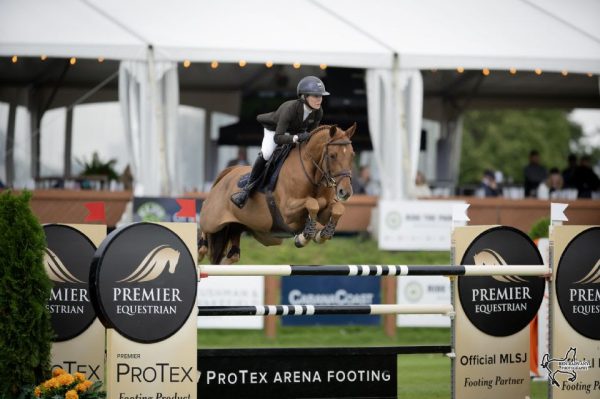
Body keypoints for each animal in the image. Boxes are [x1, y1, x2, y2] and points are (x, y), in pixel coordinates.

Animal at [197, 123, 356, 264]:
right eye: (332, 155)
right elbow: (312, 203)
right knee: (203, 224)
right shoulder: (287, 211)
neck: (314, 177)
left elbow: (337, 209)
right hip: (212, 220)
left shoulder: (324, 210)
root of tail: (226, 173)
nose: (345, 192)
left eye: (352, 155)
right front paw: (304, 237)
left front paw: (322, 234)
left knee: (231, 256)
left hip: (237, 225)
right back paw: (200, 250)